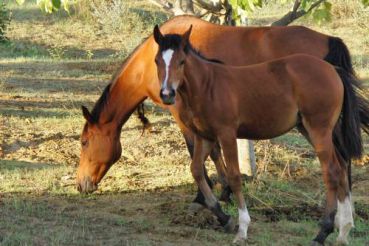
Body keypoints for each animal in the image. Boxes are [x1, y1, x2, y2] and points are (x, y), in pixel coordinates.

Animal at [75, 16, 368, 211]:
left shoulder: (184, 115)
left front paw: (206, 196)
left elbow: (198, 152)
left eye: (85, 142)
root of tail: (329, 39)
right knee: (341, 155)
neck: (152, 60)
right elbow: (213, 152)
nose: (81, 185)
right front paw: (224, 191)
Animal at [152, 26, 368, 245]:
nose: (167, 94)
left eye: (181, 61)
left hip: (319, 129)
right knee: (341, 165)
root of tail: (333, 70)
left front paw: (242, 229)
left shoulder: (226, 134)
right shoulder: (205, 137)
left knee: (332, 170)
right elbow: (196, 170)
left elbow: (234, 176)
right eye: (157, 61)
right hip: (309, 129)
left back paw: (323, 232)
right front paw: (224, 218)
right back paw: (343, 231)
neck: (208, 86)